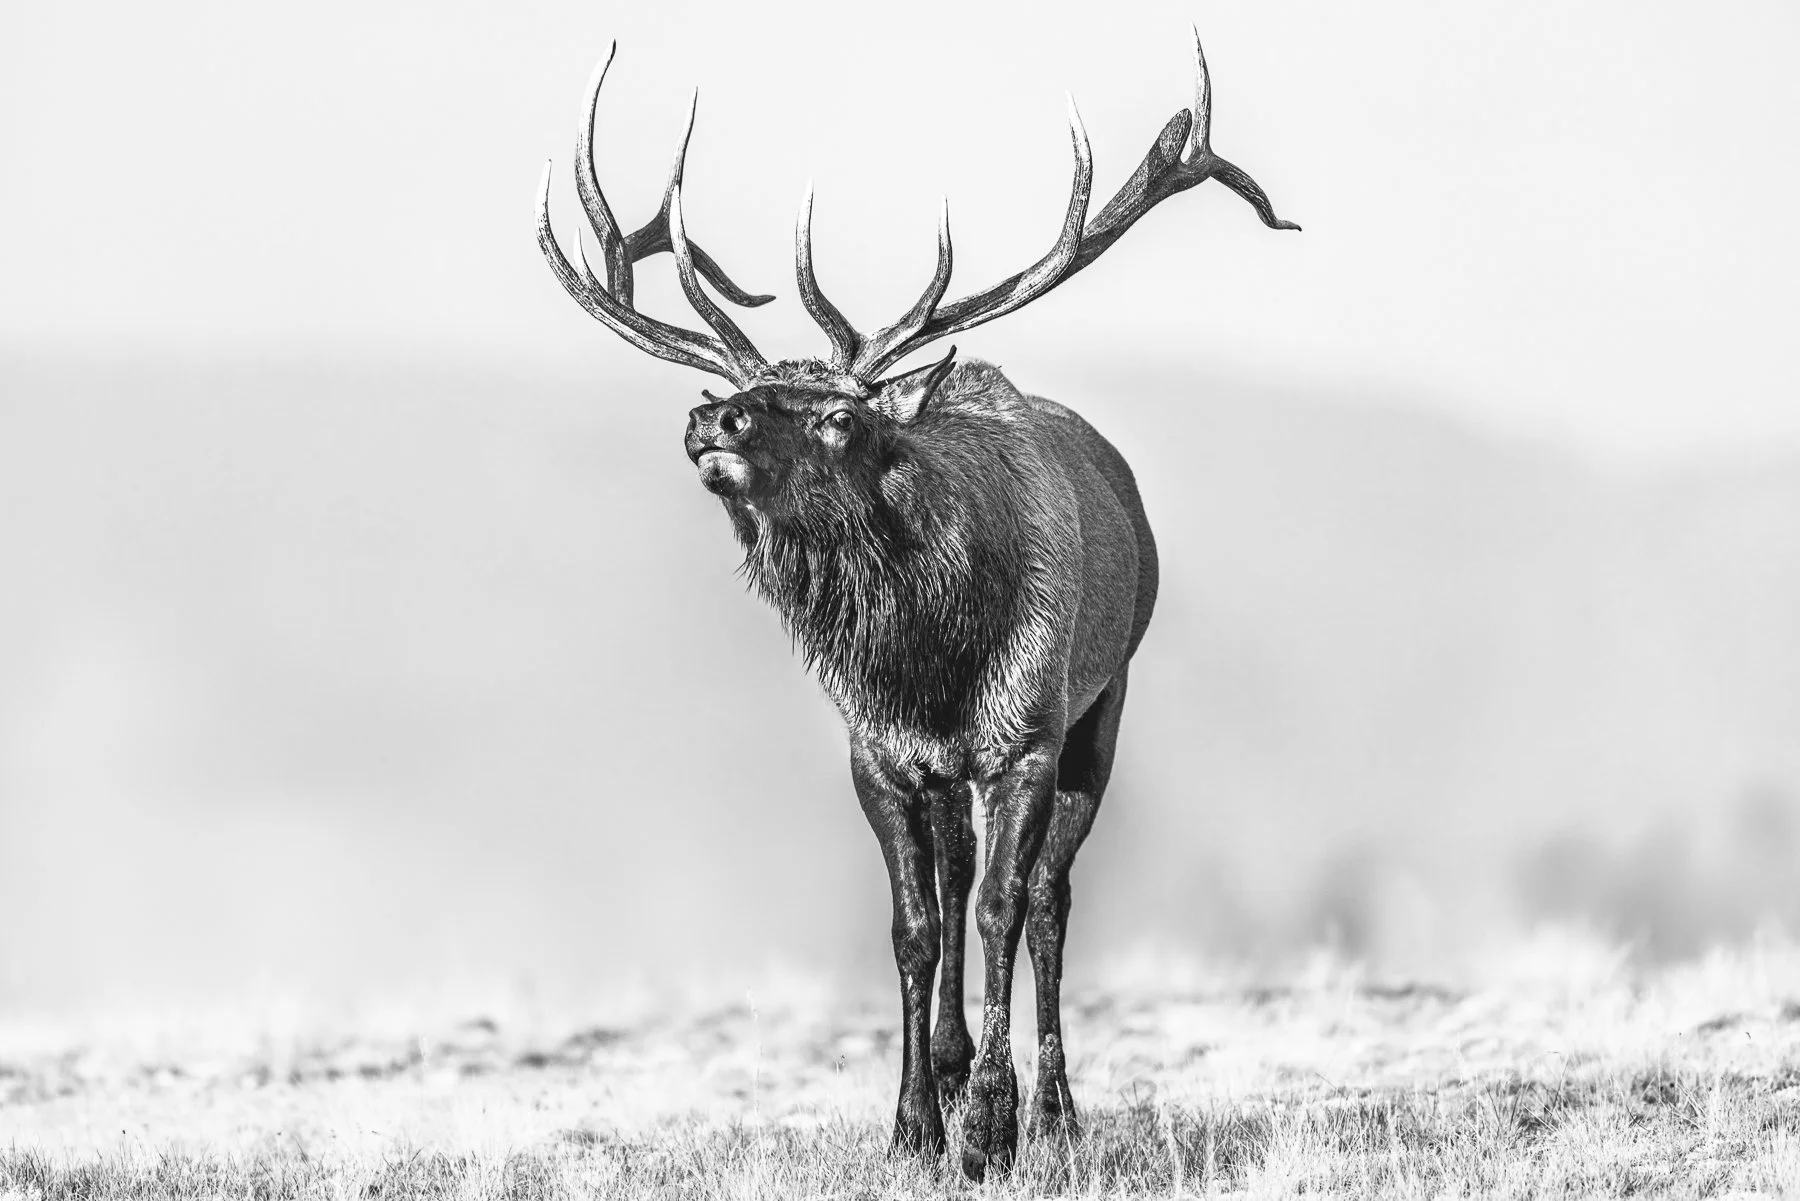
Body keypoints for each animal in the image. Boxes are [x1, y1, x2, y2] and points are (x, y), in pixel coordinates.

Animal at [535, 31, 1295, 1179]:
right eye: (748, 398)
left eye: (841, 419)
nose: (715, 415)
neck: (931, 663)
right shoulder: (879, 756)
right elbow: (915, 924)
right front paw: (912, 1123)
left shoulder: (1025, 736)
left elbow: (999, 908)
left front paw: (989, 1127)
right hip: (954, 773)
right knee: (961, 880)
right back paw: (956, 1064)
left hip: (1103, 706)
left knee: (1048, 899)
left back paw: (1056, 1109)